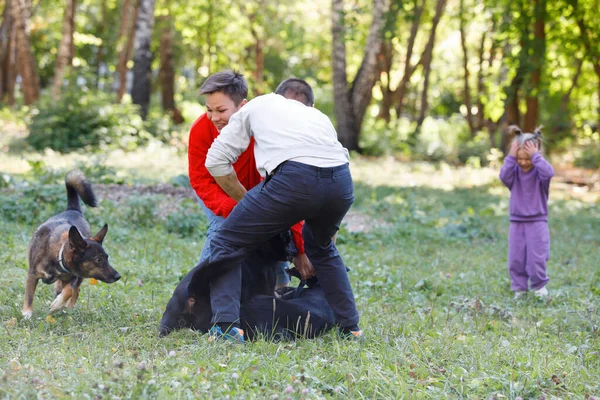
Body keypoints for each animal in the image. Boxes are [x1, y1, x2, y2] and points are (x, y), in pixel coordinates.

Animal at [22, 170, 120, 318]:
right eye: (98, 259)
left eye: (107, 258)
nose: (118, 276)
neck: (59, 254)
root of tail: (73, 209)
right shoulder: (32, 274)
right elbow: (29, 295)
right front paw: (27, 313)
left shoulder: (73, 277)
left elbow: (69, 291)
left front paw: (58, 304)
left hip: (80, 277)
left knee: (75, 290)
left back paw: (68, 307)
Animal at [159, 234, 336, 340]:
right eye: (286, 238)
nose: (295, 250)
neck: (259, 252)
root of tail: (192, 291)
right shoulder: (267, 289)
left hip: (168, 319)